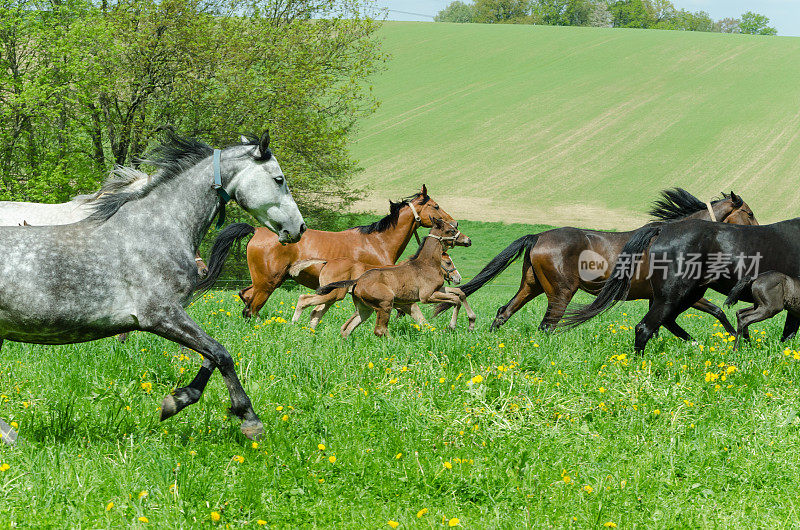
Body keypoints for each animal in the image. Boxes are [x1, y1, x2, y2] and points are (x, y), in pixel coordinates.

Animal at [0, 131, 304, 438]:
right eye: (279, 179)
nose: (299, 228)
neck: (155, 231)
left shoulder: (175, 314)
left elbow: (210, 356)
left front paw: (177, 400)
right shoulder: (161, 315)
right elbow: (221, 354)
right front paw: (249, 419)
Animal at [438, 188, 756, 334]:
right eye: (750, 213)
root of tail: (537, 236)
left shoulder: (657, 297)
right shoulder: (678, 293)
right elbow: (718, 311)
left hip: (532, 285)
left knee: (505, 312)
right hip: (561, 291)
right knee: (547, 324)